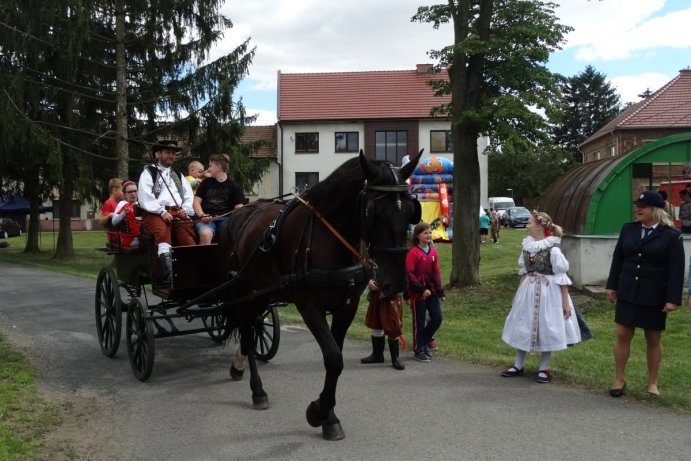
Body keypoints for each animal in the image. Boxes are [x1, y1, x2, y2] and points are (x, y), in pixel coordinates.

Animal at [219, 149, 424, 440]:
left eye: (410, 211)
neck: (329, 239)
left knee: (253, 327)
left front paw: (328, 416)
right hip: (244, 291)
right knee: (247, 334)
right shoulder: (309, 306)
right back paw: (257, 390)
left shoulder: (347, 305)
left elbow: (335, 358)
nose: (395, 284)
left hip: (262, 293)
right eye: (374, 212)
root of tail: (239, 214)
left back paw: (239, 367)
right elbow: (334, 358)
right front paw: (318, 412)